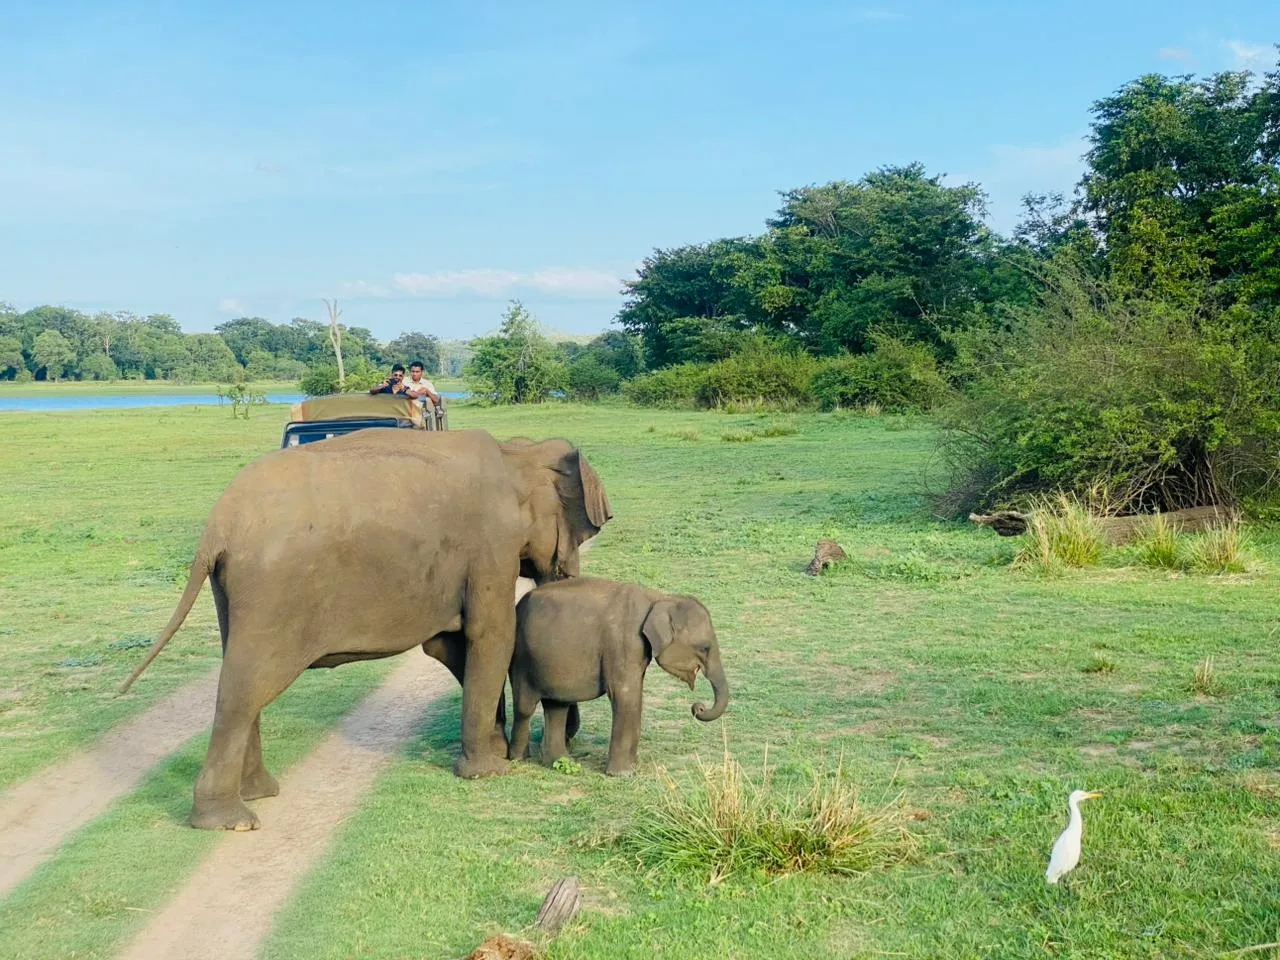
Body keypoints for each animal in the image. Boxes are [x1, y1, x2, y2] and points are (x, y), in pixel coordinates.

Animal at [118, 428, 612, 830]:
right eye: (583, 534)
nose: (571, 735)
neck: (516, 453)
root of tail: (215, 529)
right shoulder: (491, 545)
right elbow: (491, 636)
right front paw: (489, 772)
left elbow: (449, 646)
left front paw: (492, 748)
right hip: (272, 594)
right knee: (245, 687)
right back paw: (231, 820)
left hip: (232, 592)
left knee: (243, 678)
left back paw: (260, 792)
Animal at [506, 577, 729, 776]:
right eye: (704, 648)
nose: (698, 707)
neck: (659, 598)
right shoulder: (623, 640)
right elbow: (625, 694)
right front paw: (622, 774)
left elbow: (635, 695)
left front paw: (632, 767)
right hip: (521, 656)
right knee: (525, 707)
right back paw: (519, 758)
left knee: (557, 707)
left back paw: (560, 761)